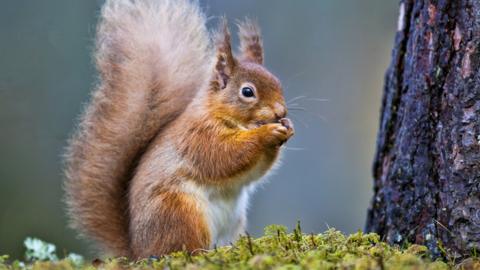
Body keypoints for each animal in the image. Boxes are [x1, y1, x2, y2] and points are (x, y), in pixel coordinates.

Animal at [64, 0, 292, 258]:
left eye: (277, 82)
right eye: (247, 92)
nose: (280, 112)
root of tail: (138, 250)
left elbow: (254, 172)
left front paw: (287, 127)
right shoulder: (198, 137)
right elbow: (225, 156)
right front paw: (266, 134)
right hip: (180, 211)